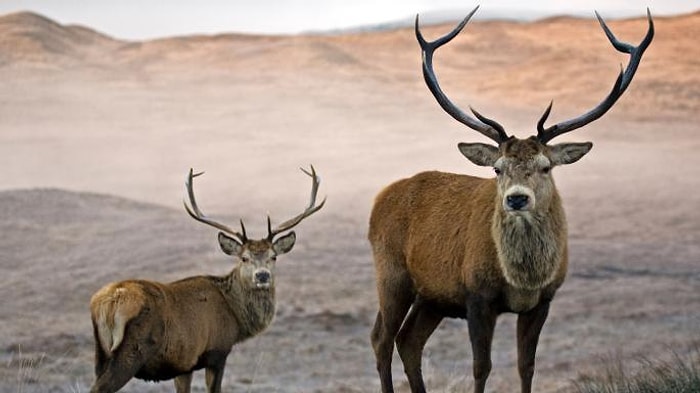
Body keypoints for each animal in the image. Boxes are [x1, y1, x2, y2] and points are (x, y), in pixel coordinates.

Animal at [89, 165, 326, 392]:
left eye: (273, 256)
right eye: (244, 258)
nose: (262, 275)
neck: (235, 316)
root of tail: (106, 303)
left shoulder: (184, 363)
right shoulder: (217, 351)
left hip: (100, 355)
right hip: (131, 351)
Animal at [370, 6, 652, 392]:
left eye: (546, 166)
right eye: (498, 168)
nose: (517, 199)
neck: (521, 279)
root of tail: (380, 200)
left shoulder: (543, 300)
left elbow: (526, 365)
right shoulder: (476, 295)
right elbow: (481, 367)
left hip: (433, 295)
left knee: (408, 340)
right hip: (392, 273)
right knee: (382, 339)